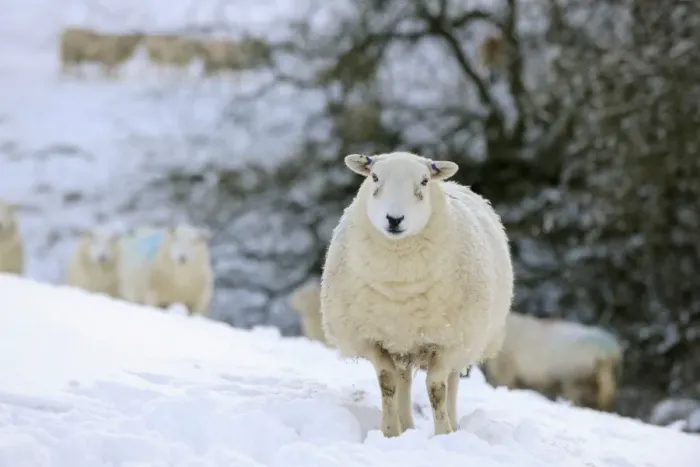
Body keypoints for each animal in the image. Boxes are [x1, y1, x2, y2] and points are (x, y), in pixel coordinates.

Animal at [320, 151, 514, 437]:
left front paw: (443, 433)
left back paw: (454, 426)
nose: (394, 219)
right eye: (374, 177)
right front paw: (390, 432)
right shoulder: (370, 338)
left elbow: (436, 389)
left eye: (424, 181)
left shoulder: (448, 342)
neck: (400, 283)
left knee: (452, 382)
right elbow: (387, 382)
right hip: (403, 339)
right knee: (403, 380)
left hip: (464, 339)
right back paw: (407, 425)